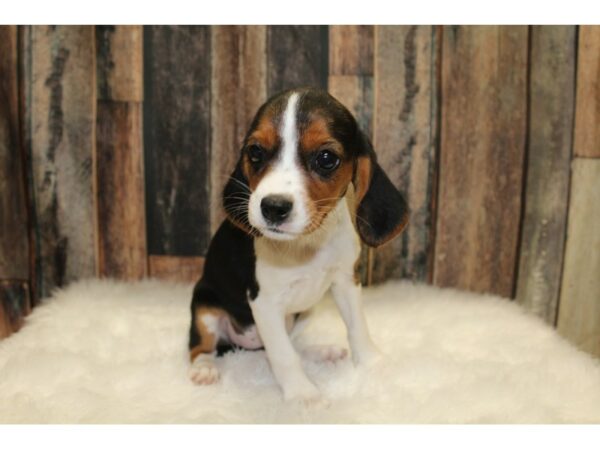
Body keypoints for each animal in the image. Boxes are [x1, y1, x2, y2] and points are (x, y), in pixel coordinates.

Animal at [190, 86, 410, 402]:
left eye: (326, 158)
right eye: (255, 152)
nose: (273, 207)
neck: (308, 243)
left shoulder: (346, 281)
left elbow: (357, 326)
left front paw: (371, 362)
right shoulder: (265, 302)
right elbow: (283, 356)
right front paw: (303, 395)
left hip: (304, 312)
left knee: (291, 345)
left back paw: (320, 352)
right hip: (204, 306)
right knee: (200, 346)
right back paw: (204, 369)